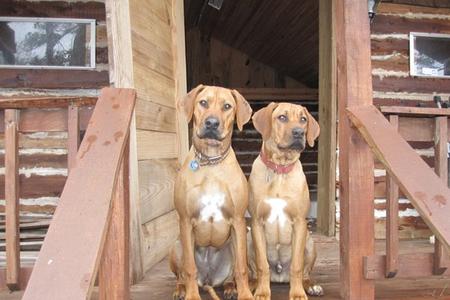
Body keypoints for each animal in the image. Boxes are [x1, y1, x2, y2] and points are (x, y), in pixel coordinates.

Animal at [170, 85, 253, 300]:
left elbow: (242, 268)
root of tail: (208, 280)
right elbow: (190, 268)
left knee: (233, 272)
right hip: (177, 245)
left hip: (232, 245)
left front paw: (245, 294)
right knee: (181, 275)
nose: (212, 123)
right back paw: (180, 289)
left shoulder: (238, 221)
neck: (211, 162)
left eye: (227, 106)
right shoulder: (185, 221)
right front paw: (191, 296)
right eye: (203, 102)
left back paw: (231, 287)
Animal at [246, 102, 324, 298]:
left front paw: (297, 294)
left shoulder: (299, 223)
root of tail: (280, 276)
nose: (299, 132)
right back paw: (251, 284)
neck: (279, 170)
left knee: (304, 273)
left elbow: (297, 266)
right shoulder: (257, 222)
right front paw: (262, 293)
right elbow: (262, 265)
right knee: (255, 271)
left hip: (309, 242)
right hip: (249, 238)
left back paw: (311, 285)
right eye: (282, 117)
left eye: (303, 119)